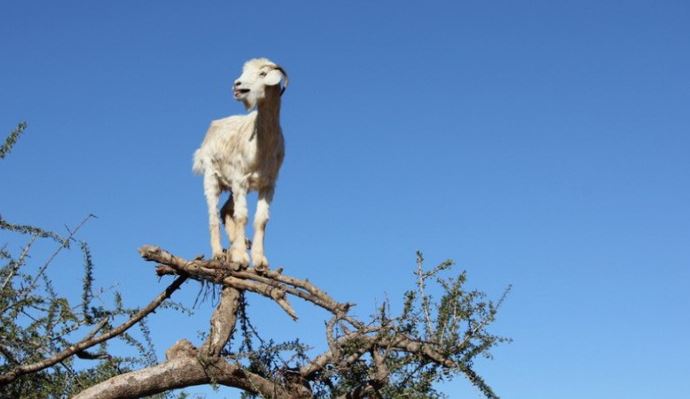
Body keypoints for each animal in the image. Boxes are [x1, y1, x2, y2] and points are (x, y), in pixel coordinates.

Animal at [194, 57, 288, 270]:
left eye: (263, 74)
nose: (237, 85)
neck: (262, 146)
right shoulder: (240, 180)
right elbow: (242, 216)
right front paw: (241, 258)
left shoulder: (268, 185)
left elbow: (261, 219)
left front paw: (260, 262)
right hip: (212, 177)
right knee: (213, 214)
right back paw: (219, 253)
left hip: (231, 186)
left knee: (226, 210)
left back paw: (238, 244)